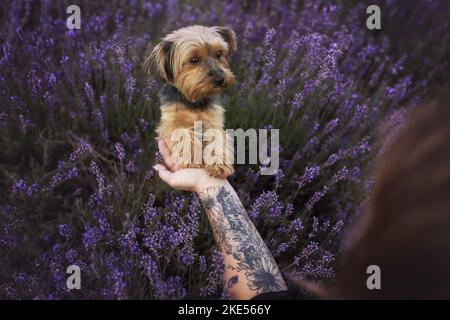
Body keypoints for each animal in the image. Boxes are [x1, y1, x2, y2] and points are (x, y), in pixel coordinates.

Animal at [145, 25, 237, 179]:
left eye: (219, 53)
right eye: (194, 60)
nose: (219, 79)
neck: (194, 100)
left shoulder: (213, 121)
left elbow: (217, 138)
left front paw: (218, 163)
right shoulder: (170, 123)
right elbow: (183, 133)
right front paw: (193, 158)